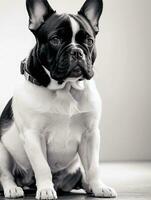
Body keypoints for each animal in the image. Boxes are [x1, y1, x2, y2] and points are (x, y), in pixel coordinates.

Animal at [0, 0, 117, 199]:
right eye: (55, 40)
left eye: (89, 41)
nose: (77, 52)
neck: (66, 89)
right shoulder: (33, 135)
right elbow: (42, 166)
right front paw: (46, 189)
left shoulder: (91, 134)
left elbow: (93, 166)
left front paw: (99, 186)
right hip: (1, 151)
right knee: (5, 174)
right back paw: (12, 189)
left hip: (75, 168)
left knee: (83, 175)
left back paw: (89, 185)